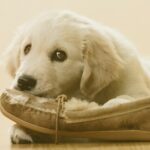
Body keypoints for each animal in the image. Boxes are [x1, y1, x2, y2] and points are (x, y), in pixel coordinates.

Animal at [4, 10, 150, 143]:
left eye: (60, 55)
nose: (24, 81)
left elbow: (127, 100)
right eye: (27, 49)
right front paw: (22, 127)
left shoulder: (138, 91)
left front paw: (113, 108)